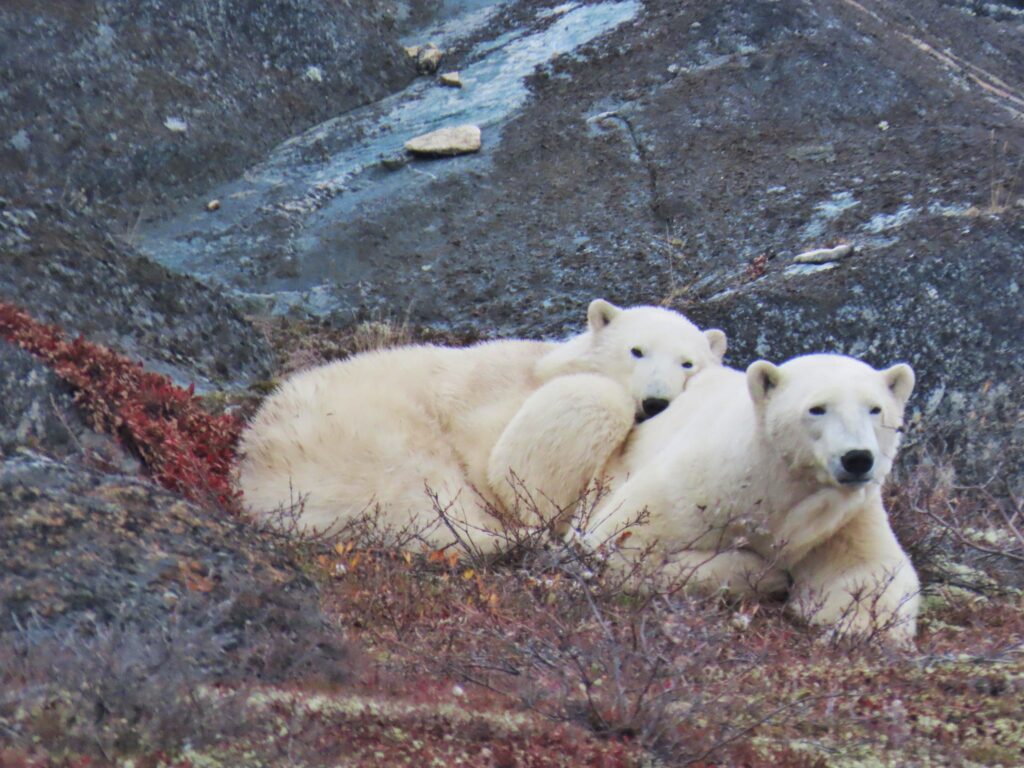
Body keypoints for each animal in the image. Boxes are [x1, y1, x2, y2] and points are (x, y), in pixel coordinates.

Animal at [235, 303, 724, 552]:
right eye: (636, 350)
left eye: (688, 362)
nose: (656, 401)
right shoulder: (488, 404)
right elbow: (508, 471)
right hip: (361, 433)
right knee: (423, 496)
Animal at [585, 358, 921, 647]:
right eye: (817, 409)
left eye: (875, 409)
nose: (857, 458)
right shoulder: (703, 485)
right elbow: (622, 546)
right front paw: (765, 572)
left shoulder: (841, 516)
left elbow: (871, 570)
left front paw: (856, 628)